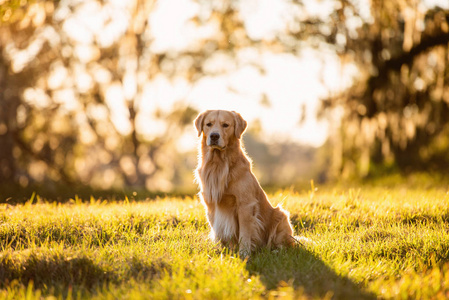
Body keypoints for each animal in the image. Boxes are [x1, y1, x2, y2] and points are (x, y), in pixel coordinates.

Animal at [192, 109, 294, 256]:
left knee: (284, 244)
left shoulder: (245, 205)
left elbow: (244, 233)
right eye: (208, 124)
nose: (214, 136)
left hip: (281, 216)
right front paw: (222, 251)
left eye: (225, 125)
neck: (218, 164)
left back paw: (275, 251)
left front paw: (244, 254)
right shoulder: (211, 204)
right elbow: (217, 230)